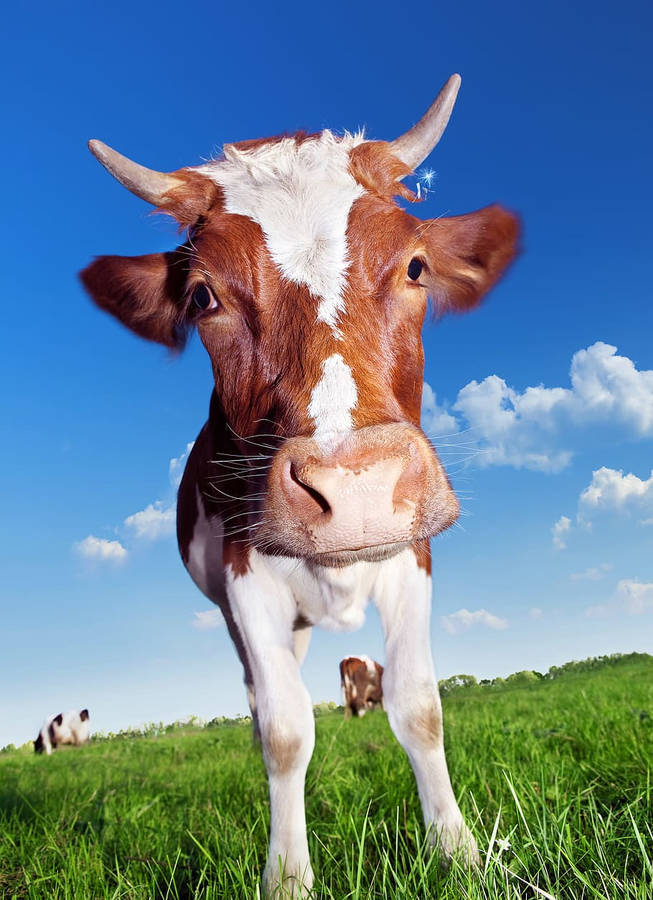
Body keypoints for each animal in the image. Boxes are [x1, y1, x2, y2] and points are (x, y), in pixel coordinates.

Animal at [81, 74, 519, 896]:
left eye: (415, 266)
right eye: (203, 297)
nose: (355, 488)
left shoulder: (411, 556)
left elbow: (419, 707)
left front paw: (456, 851)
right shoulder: (245, 579)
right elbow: (284, 732)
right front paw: (286, 876)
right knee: (263, 702)